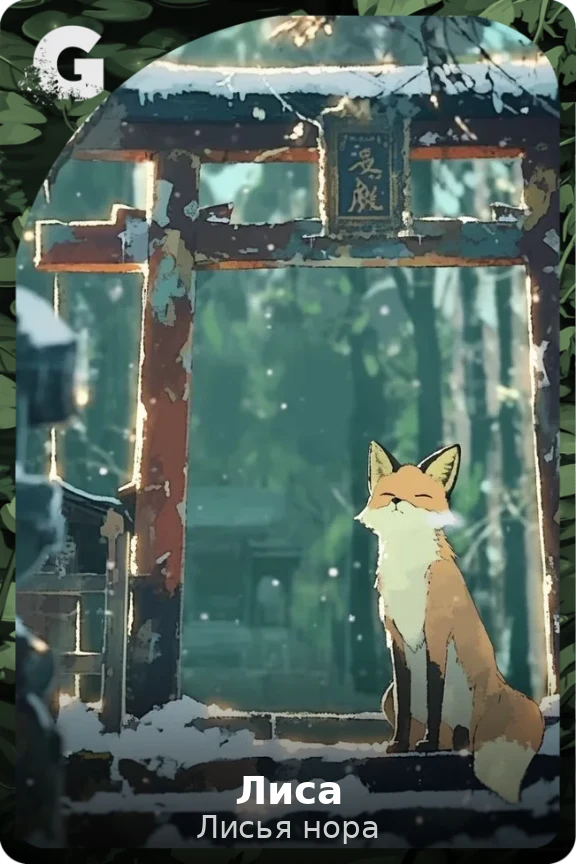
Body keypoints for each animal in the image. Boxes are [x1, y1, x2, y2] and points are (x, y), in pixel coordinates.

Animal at [355, 440, 544, 804]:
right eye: (390, 494)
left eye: (420, 495)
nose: (399, 502)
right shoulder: (395, 639)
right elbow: (406, 703)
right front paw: (400, 745)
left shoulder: (436, 634)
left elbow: (434, 694)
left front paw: (426, 746)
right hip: (387, 696)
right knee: (447, 729)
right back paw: (444, 742)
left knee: (468, 735)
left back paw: (450, 743)